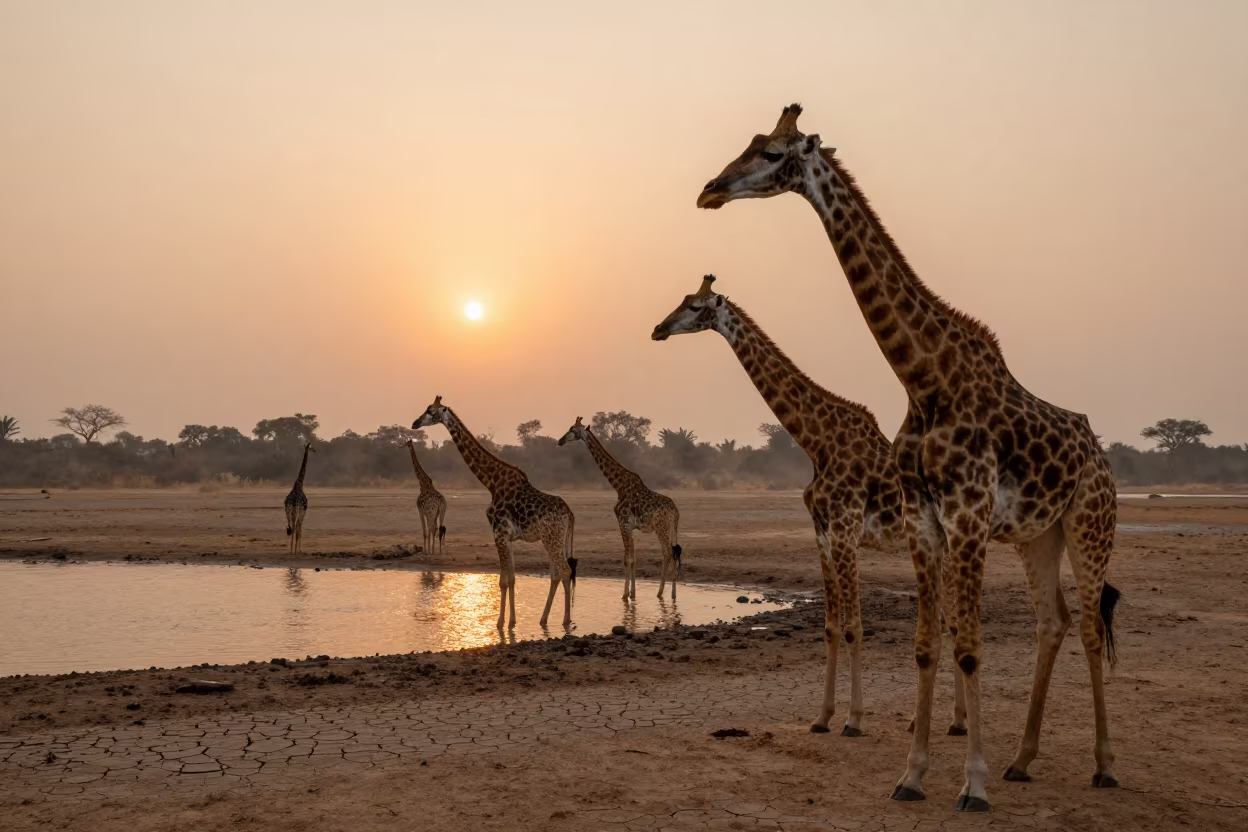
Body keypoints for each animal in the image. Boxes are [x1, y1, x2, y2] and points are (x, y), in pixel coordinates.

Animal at [413, 397, 577, 629]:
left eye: (431, 411)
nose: (415, 423)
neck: (491, 483)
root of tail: (569, 514)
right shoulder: (507, 538)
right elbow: (512, 579)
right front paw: (512, 622)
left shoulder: (498, 534)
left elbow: (503, 581)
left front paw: (500, 623)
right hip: (556, 539)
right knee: (557, 573)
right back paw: (544, 619)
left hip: (551, 539)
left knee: (564, 570)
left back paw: (565, 620)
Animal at [557, 416, 682, 602]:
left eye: (572, 429)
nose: (560, 441)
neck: (618, 486)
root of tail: (675, 512)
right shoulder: (630, 526)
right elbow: (633, 558)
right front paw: (633, 594)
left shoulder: (622, 521)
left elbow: (627, 558)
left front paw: (624, 595)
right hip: (672, 528)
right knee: (674, 553)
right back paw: (673, 595)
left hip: (661, 527)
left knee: (667, 553)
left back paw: (660, 593)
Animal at [653, 273, 911, 736]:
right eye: (683, 300)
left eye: (697, 307)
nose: (658, 329)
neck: (817, 443)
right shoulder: (822, 534)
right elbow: (830, 627)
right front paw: (822, 717)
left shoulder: (845, 533)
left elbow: (855, 627)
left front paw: (854, 719)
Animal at [697, 104, 1121, 811]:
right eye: (750, 142)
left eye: (774, 152)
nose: (709, 190)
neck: (924, 381)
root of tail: (1103, 456)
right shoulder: (925, 524)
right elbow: (925, 645)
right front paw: (913, 775)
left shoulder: (967, 518)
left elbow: (968, 645)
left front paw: (971, 784)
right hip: (1040, 534)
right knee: (1052, 622)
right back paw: (1022, 759)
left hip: (1090, 522)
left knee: (1088, 625)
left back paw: (1103, 765)